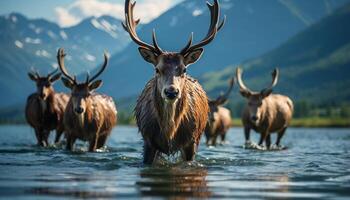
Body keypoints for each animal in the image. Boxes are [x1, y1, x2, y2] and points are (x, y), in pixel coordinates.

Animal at [123, 0, 226, 163]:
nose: (171, 91)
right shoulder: (148, 140)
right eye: (157, 69)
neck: (169, 132)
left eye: (184, 69)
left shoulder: (191, 141)